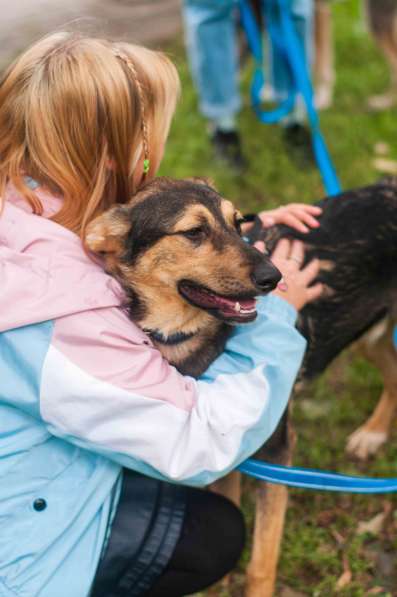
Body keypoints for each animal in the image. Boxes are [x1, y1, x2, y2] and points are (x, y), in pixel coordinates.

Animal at [85, 178, 396, 596]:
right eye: (194, 232)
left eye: (238, 223)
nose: (275, 277)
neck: (183, 335)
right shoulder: (223, 452)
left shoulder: (277, 451)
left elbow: (260, 566)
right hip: (366, 330)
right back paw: (373, 433)